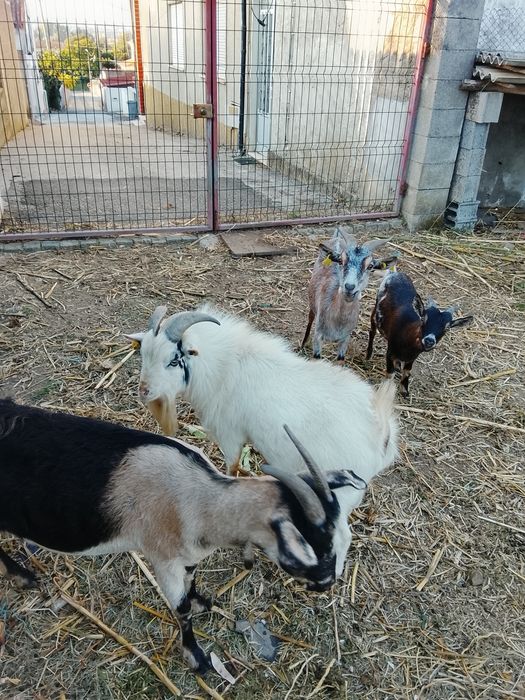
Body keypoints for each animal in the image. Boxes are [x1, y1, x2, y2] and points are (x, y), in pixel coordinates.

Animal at [0, 399, 366, 673]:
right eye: (312, 551)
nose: (327, 583)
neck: (199, 497)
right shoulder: (162, 559)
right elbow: (181, 609)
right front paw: (197, 657)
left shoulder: (187, 554)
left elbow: (193, 582)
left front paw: (203, 601)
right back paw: (22, 576)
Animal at [127, 306, 398, 538]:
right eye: (143, 354)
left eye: (173, 360)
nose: (143, 392)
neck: (225, 365)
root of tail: (380, 432)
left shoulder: (230, 434)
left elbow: (232, 466)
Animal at [301, 226, 390, 360]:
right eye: (341, 261)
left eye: (370, 266)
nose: (349, 287)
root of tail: (337, 237)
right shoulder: (318, 336)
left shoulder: (345, 339)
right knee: (310, 318)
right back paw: (302, 345)